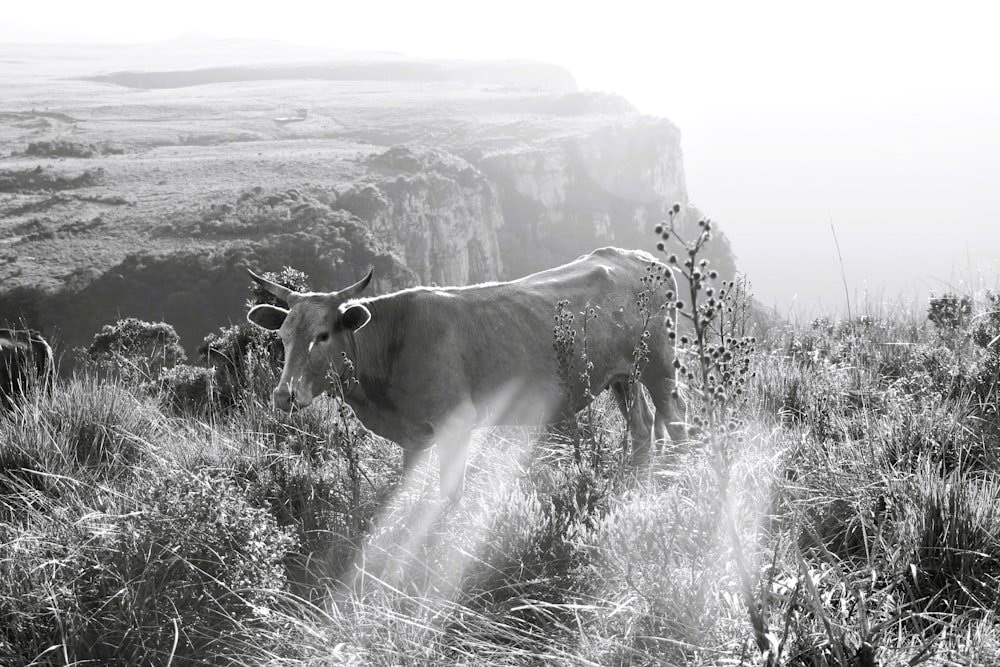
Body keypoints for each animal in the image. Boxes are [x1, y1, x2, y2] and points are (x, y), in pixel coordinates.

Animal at [248, 248, 688, 498]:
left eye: (322, 335)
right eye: (282, 336)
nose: (284, 395)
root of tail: (643, 259)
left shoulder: (456, 423)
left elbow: (449, 493)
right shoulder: (413, 437)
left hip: (660, 365)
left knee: (676, 418)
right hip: (623, 376)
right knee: (641, 426)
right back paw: (638, 478)